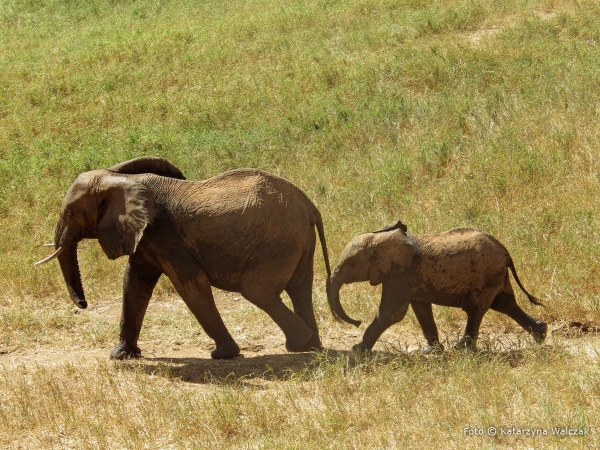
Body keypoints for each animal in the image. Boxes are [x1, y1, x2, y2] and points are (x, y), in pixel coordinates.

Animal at [36, 156, 332, 360]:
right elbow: (134, 284)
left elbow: (191, 284)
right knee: (299, 288)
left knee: (257, 290)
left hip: (277, 242)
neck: (117, 178)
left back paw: (298, 344)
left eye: (71, 213)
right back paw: (311, 346)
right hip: (296, 240)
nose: (83, 305)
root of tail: (311, 207)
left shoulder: (164, 233)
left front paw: (223, 355)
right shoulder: (146, 237)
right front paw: (120, 356)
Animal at [326, 223, 548, 354]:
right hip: (495, 276)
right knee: (505, 304)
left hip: (487, 275)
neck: (381, 238)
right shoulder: (409, 278)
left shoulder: (400, 276)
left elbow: (391, 313)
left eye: (351, 264)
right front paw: (431, 351)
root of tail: (505, 251)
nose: (357, 322)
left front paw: (358, 350)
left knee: (477, 309)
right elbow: (421, 309)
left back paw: (461, 349)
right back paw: (541, 334)